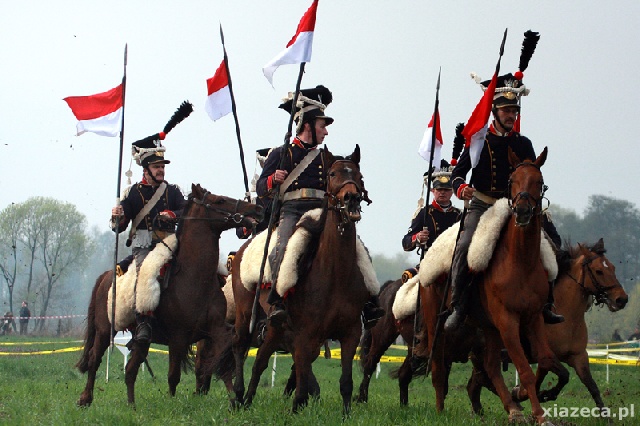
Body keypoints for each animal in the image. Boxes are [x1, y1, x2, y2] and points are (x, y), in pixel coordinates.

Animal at [76, 184, 263, 406]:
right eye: (220, 200)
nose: (256, 209)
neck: (194, 277)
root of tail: (106, 276)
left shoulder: (215, 330)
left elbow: (222, 362)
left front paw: (235, 398)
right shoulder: (178, 337)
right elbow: (174, 375)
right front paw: (173, 403)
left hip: (141, 340)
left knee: (130, 370)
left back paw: (132, 405)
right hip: (105, 331)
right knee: (94, 359)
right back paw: (85, 399)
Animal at [231, 145, 373, 415]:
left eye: (360, 176)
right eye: (332, 174)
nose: (351, 199)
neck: (335, 274)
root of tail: (241, 251)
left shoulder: (350, 332)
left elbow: (345, 380)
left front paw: (345, 413)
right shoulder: (305, 334)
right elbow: (302, 373)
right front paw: (297, 406)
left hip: (275, 328)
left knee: (260, 361)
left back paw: (247, 400)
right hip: (246, 317)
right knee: (243, 350)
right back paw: (238, 396)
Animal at [467, 239, 628, 414]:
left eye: (612, 267)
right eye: (599, 271)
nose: (622, 299)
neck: (567, 317)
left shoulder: (579, 356)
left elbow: (592, 387)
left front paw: (607, 417)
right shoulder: (544, 357)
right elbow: (559, 376)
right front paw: (528, 393)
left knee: (475, 385)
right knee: (482, 381)